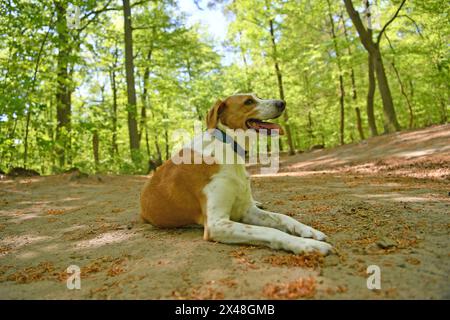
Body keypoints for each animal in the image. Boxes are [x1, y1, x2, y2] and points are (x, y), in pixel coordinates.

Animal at [141, 93, 334, 255]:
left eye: (258, 96)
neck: (229, 146)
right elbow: (270, 230)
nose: (282, 102)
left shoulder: (246, 210)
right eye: (248, 101)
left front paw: (308, 230)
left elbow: (282, 217)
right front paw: (306, 245)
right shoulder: (217, 224)